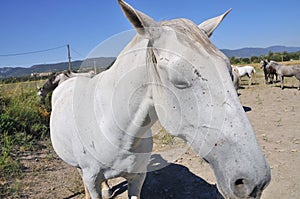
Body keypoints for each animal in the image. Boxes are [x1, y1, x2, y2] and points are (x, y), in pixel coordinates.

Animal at [49, 0, 270, 198]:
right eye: (178, 80)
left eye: (228, 69)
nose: (256, 181)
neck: (115, 132)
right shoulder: (92, 180)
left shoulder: (138, 178)